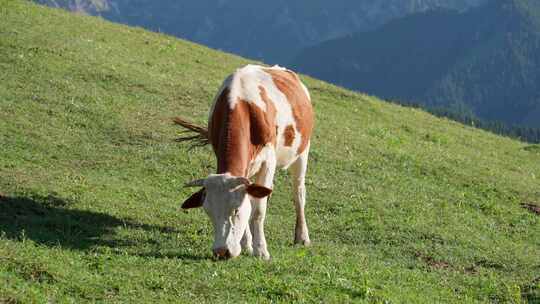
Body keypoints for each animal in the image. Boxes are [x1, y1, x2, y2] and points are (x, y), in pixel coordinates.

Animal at [175, 64, 314, 258]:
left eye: (235, 210)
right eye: (208, 212)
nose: (221, 252)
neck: (240, 104)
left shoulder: (268, 161)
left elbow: (258, 210)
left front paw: (261, 250)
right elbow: (252, 200)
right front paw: (247, 244)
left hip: (302, 152)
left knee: (299, 194)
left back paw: (302, 237)